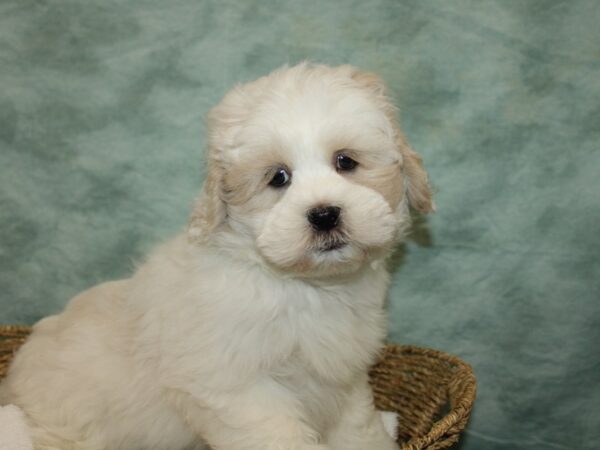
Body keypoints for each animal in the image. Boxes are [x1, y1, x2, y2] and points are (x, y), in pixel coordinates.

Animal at [0, 63, 432, 450]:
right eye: (278, 177)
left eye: (345, 161)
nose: (324, 214)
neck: (301, 286)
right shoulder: (239, 390)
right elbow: (280, 436)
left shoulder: (344, 376)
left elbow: (358, 426)